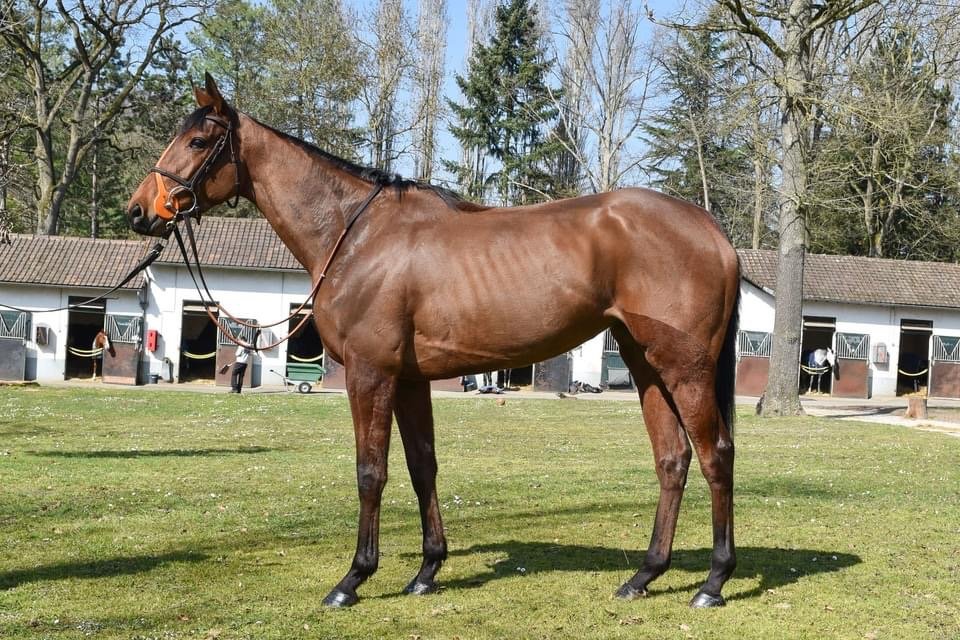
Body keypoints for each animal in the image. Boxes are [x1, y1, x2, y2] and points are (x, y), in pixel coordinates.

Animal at [125, 74, 741, 608]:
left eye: (198, 140)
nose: (138, 212)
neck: (354, 235)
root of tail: (710, 229)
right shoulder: (409, 381)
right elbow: (423, 465)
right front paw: (427, 571)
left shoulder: (371, 375)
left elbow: (371, 471)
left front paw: (353, 579)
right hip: (645, 366)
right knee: (672, 459)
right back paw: (644, 576)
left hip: (685, 370)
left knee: (716, 454)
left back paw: (713, 583)